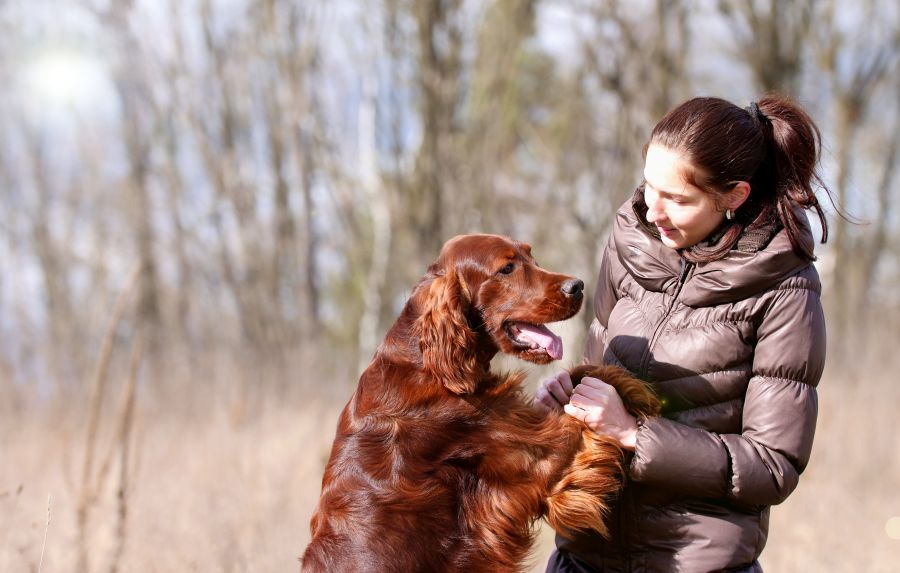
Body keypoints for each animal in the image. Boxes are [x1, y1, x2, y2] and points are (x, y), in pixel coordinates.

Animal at [302, 235, 660, 568]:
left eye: (531, 257)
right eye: (507, 268)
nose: (578, 286)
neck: (428, 366)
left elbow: (574, 375)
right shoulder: (545, 456)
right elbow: (580, 402)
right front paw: (634, 390)